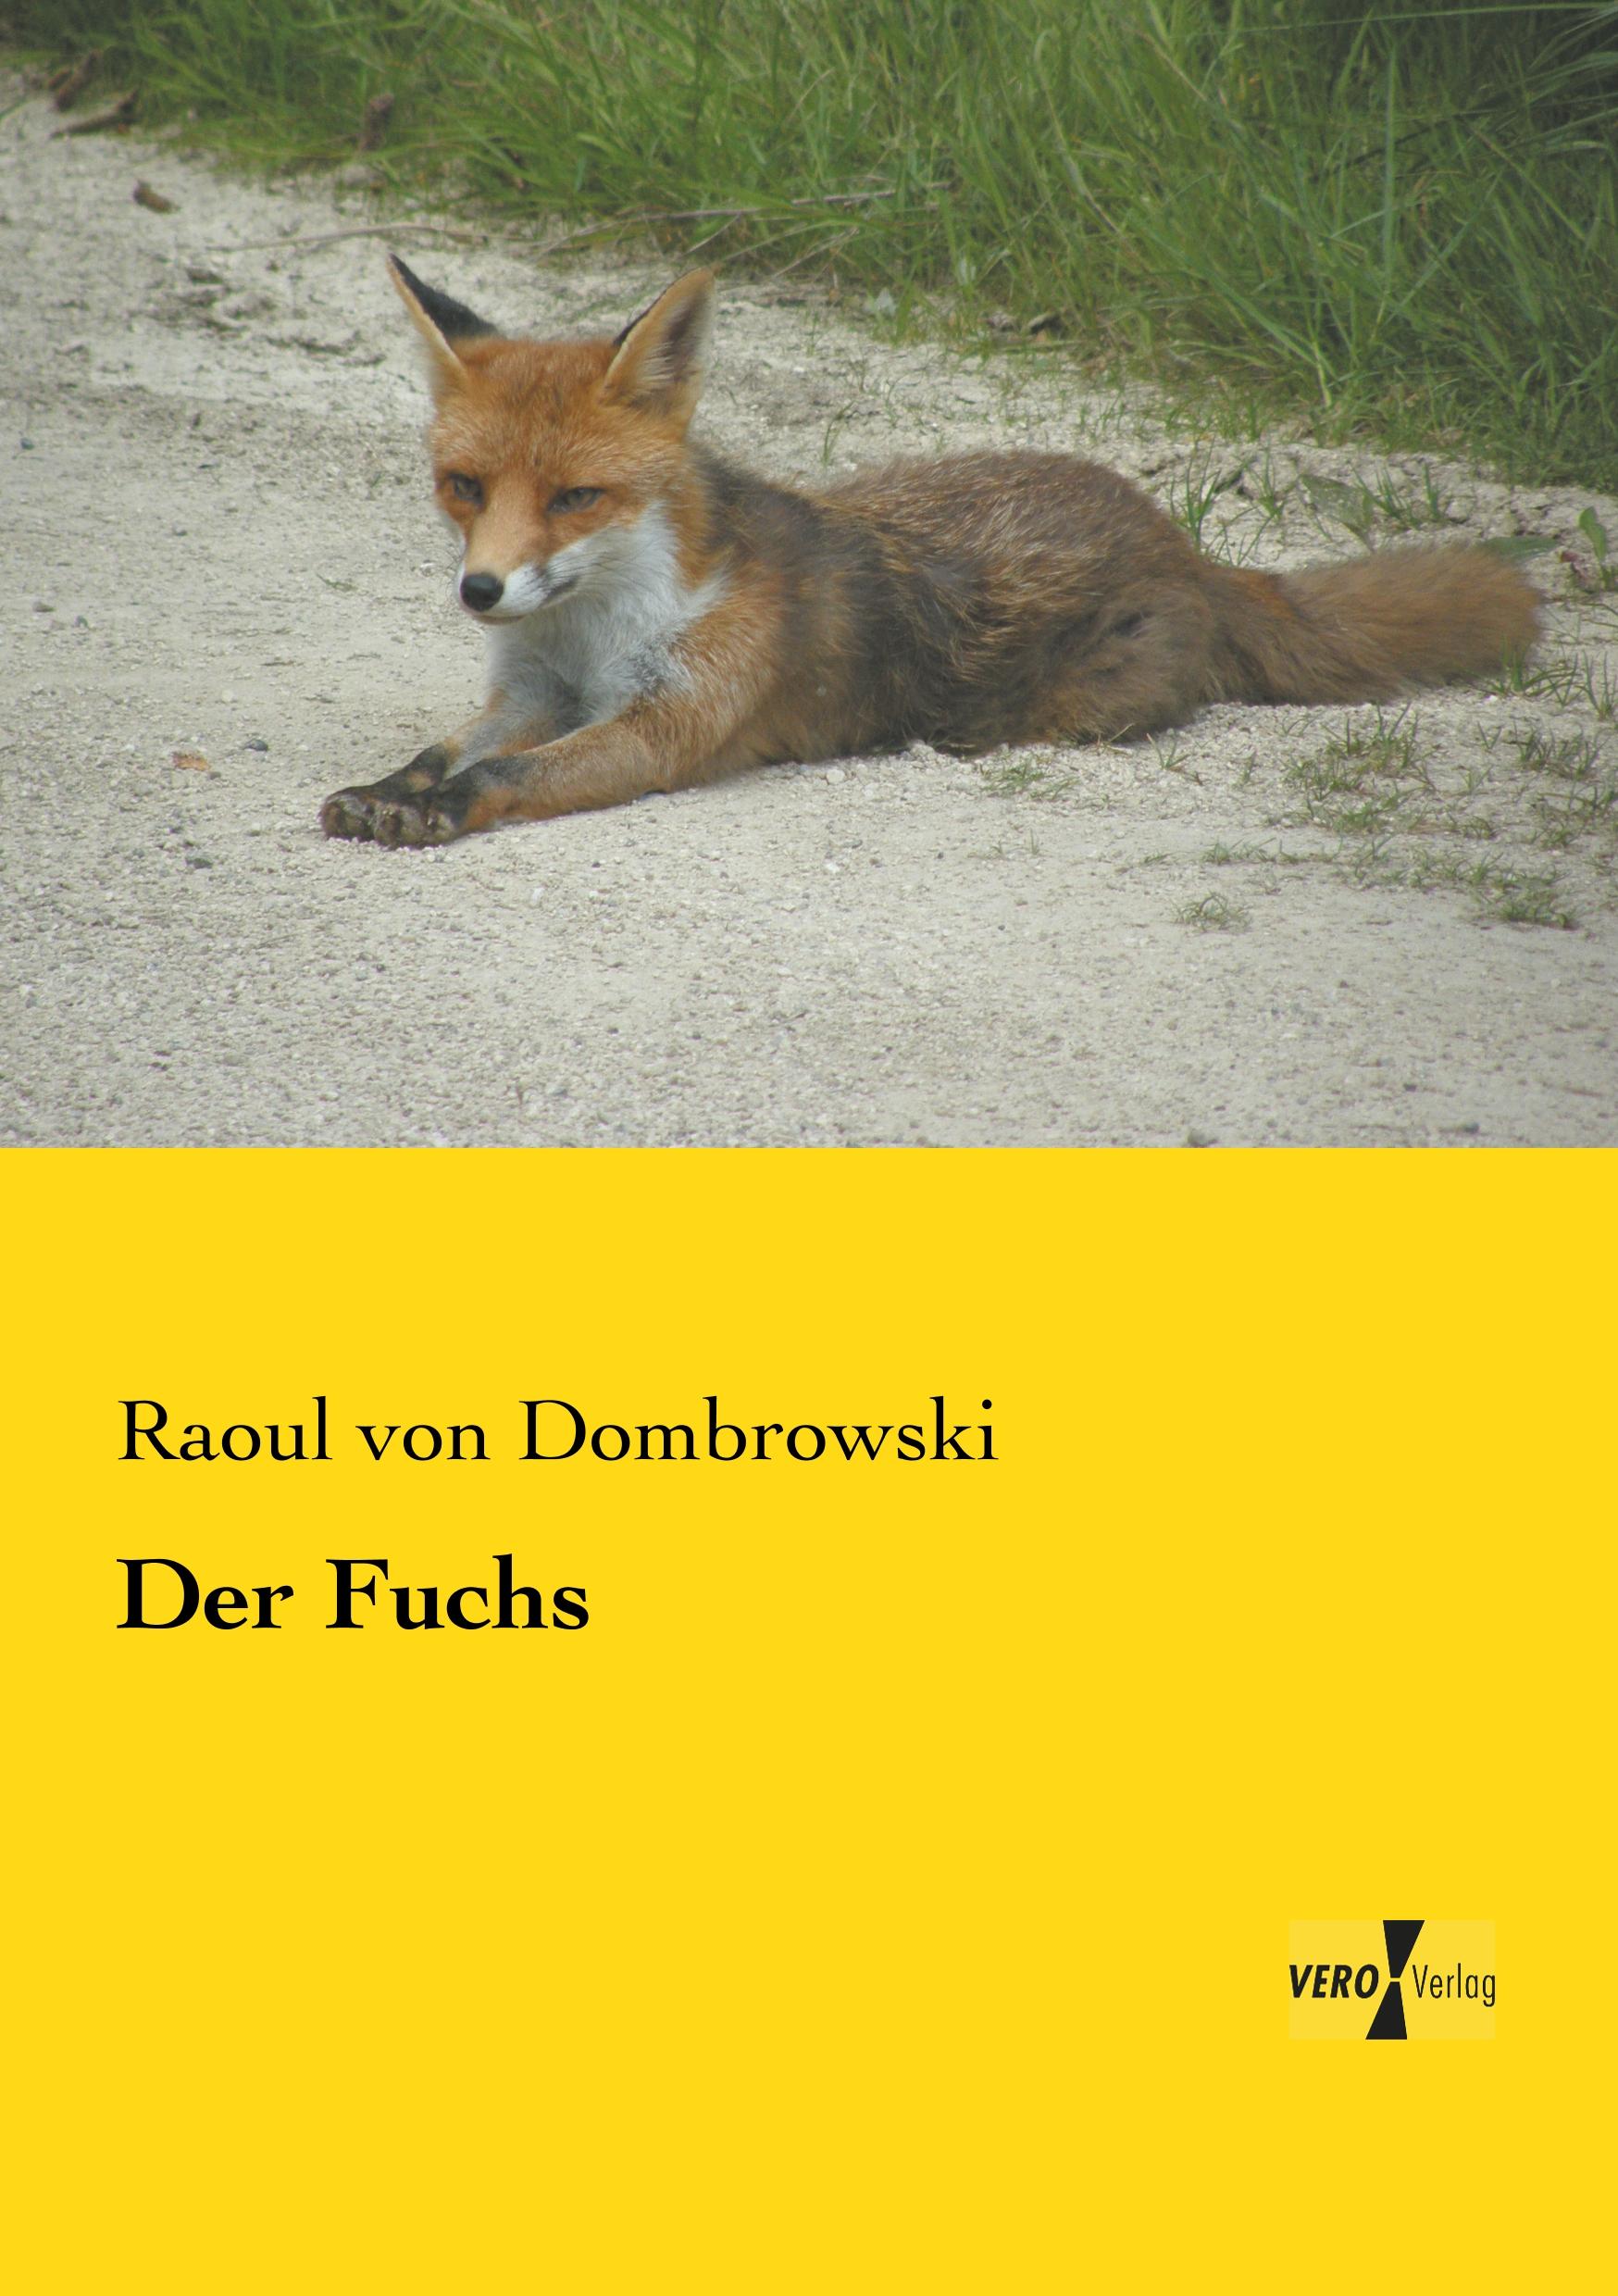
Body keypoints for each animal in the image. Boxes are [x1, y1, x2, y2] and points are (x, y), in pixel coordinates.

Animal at [320, 258, 1542, 847]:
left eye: (576, 496)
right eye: (465, 487)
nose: (481, 590)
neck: (591, 630)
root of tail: (1175, 538)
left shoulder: (668, 724)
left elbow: (504, 774)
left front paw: (439, 809)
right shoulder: (530, 690)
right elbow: (444, 750)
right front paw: (390, 789)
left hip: (1072, 706)